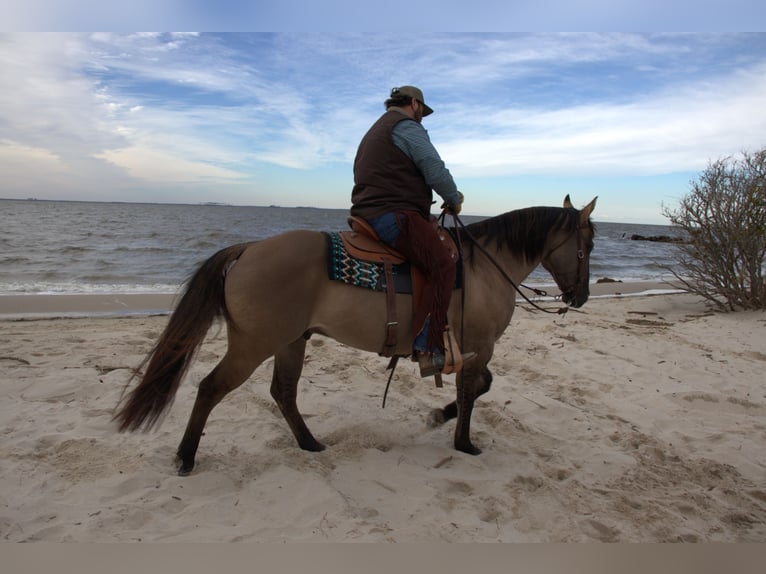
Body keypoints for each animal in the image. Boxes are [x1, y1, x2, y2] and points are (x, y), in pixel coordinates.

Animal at [114, 195, 597, 475]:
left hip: (290, 341)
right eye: (588, 244)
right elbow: (473, 388)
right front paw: (461, 440)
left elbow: (480, 387)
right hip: (254, 346)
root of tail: (249, 249)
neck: (485, 266)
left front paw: (440, 417)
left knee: (283, 392)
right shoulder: (479, 346)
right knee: (211, 388)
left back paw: (309, 443)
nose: (581, 296)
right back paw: (186, 456)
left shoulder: (476, 349)